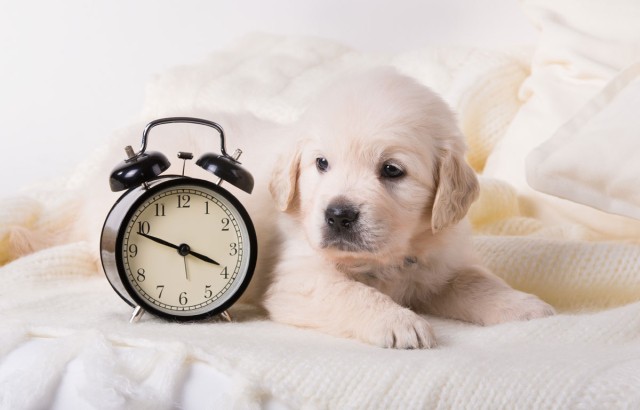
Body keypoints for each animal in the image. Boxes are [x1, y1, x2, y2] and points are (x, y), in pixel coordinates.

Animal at [260, 68, 556, 350]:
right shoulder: (299, 279)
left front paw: (525, 306)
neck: (389, 258)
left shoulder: (440, 265)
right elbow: (350, 292)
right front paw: (399, 322)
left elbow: (475, 279)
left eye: (392, 170)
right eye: (321, 163)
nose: (339, 215)